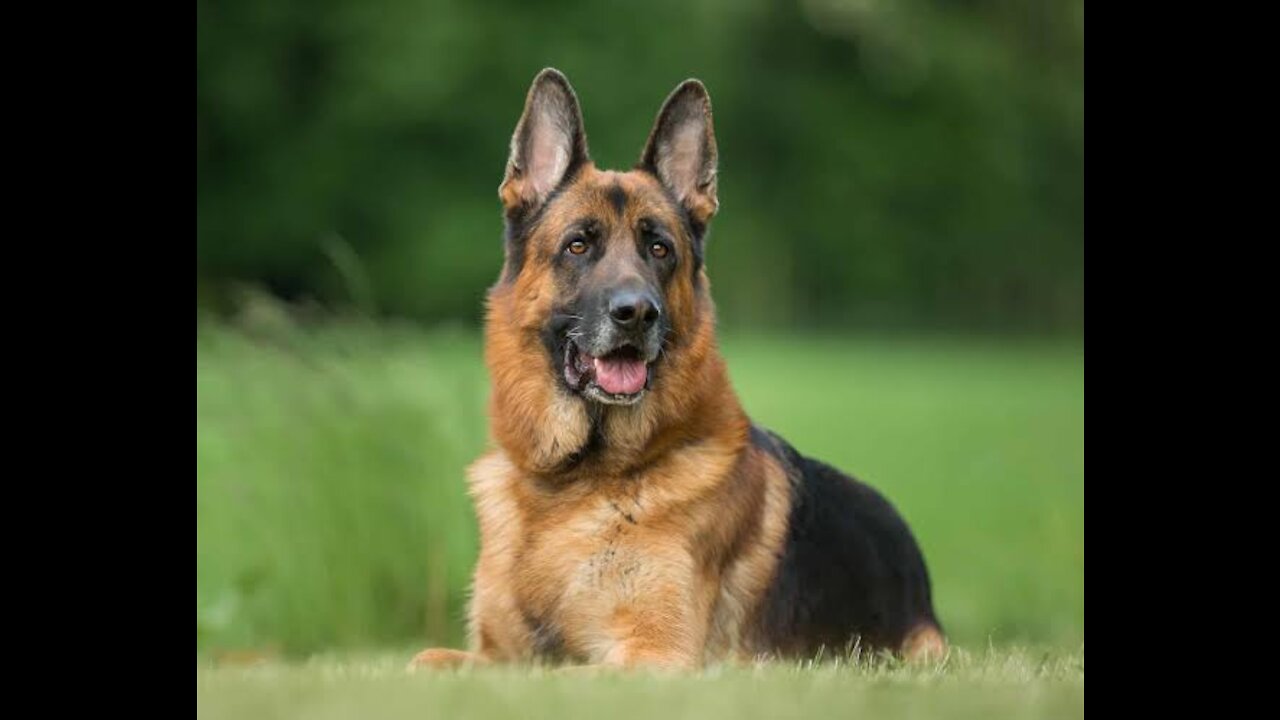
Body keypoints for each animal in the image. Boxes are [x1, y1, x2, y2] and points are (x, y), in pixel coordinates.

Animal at [407, 71, 942, 666]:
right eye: (578, 245)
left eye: (660, 249)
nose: (637, 313)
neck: (572, 485)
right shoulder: (496, 655)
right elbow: (427, 659)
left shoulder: (653, 656)